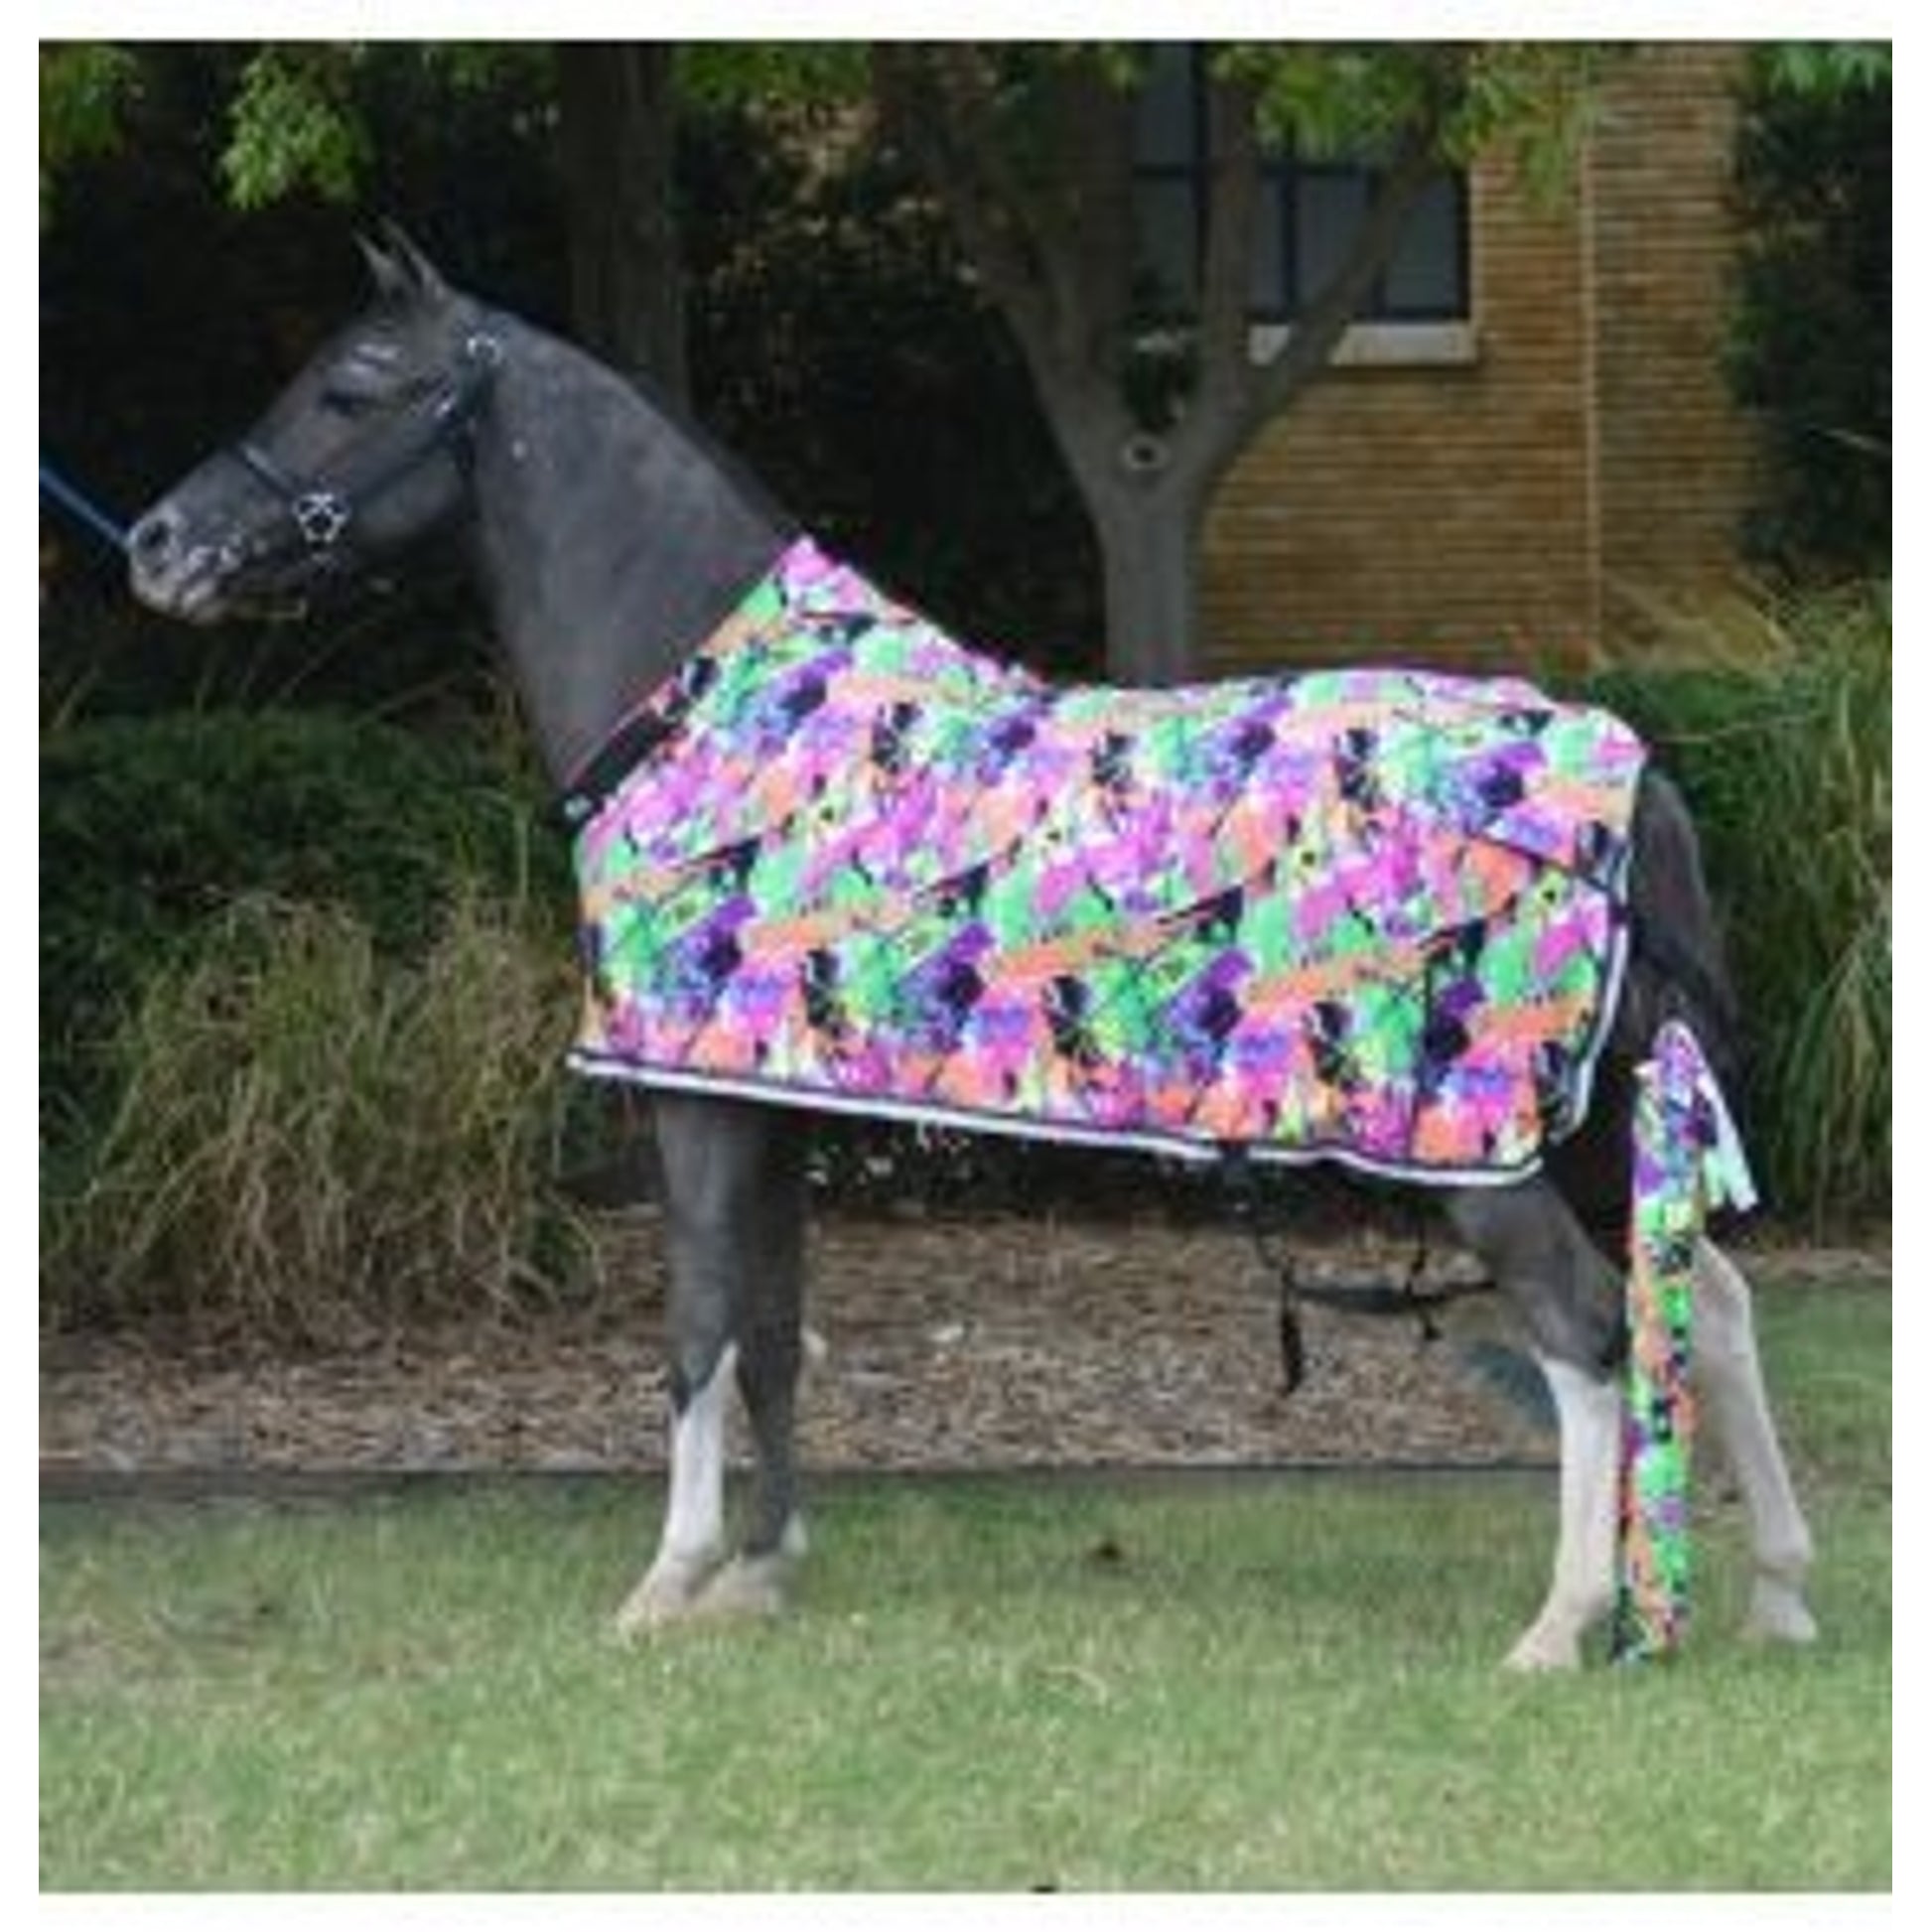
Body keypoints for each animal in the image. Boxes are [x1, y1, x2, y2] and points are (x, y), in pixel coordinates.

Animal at [126, 233, 1817, 1668]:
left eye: (351, 387)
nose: (157, 539)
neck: (716, 712)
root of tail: (1622, 770)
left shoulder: (688, 1100)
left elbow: (694, 1329)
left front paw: (666, 1579)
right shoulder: (775, 1103)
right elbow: (771, 1332)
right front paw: (760, 1568)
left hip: (1483, 1150)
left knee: (1587, 1333)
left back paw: (1563, 1622)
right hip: (1592, 1120)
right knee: (1711, 1301)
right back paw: (1777, 1591)